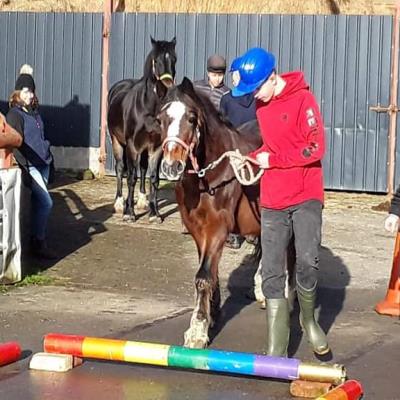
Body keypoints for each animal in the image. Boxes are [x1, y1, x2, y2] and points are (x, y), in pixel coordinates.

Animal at [107, 36, 176, 223]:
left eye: (174, 59)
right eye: (156, 60)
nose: (168, 86)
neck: (148, 109)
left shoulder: (156, 147)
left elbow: (154, 178)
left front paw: (155, 214)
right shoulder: (132, 146)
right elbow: (131, 177)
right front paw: (129, 213)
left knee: (144, 169)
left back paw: (143, 201)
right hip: (116, 141)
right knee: (120, 168)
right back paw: (119, 203)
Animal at [158, 78, 264, 346]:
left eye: (191, 118)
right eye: (160, 119)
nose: (171, 166)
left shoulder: (218, 228)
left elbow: (203, 276)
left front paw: (197, 330)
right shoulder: (198, 230)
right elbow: (209, 272)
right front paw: (212, 314)